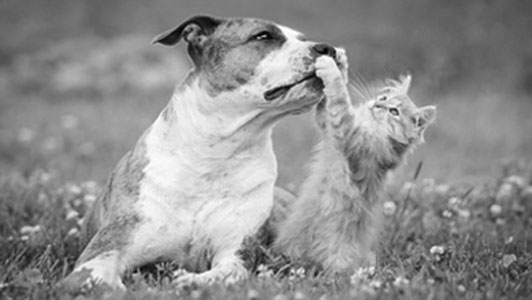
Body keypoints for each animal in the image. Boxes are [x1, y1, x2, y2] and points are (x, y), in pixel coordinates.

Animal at [60, 14, 338, 292]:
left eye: (302, 38)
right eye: (263, 36)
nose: (328, 48)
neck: (216, 154)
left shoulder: (233, 254)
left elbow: (224, 274)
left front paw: (189, 282)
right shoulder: (102, 252)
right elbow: (97, 279)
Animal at [274, 52, 436, 274]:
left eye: (393, 112)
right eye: (384, 98)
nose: (377, 104)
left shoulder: (350, 135)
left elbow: (340, 98)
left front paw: (330, 67)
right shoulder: (328, 126)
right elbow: (327, 104)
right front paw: (340, 61)